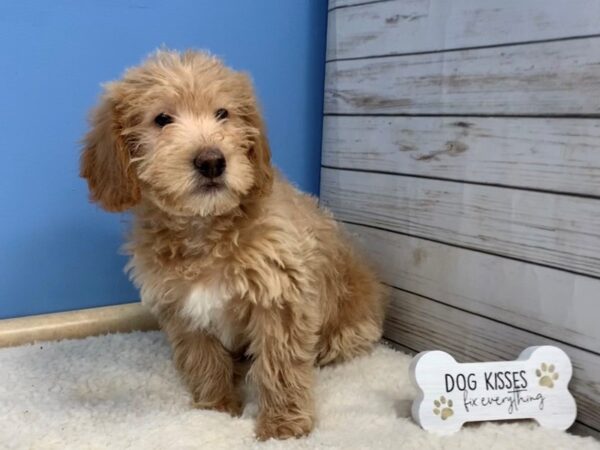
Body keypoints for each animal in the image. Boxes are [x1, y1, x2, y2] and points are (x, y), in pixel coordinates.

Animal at [79, 49, 386, 440]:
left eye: (223, 113)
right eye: (162, 119)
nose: (212, 161)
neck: (203, 227)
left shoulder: (280, 297)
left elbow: (280, 364)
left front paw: (283, 426)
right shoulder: (182, 308)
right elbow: (202, 358)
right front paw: (216, 407)